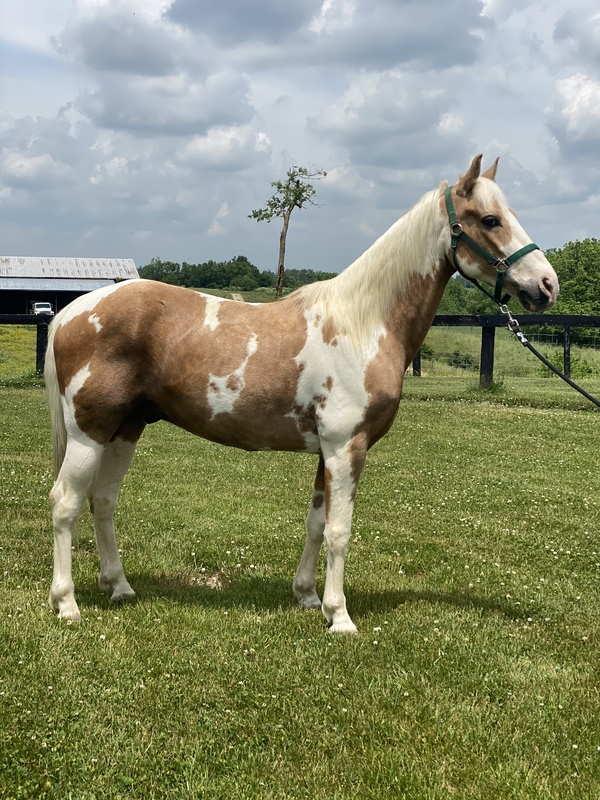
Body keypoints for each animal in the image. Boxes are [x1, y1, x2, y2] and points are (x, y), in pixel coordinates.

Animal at [45, 155, 559, 632]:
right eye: (490, 220)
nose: (547, 285)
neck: (363, 325)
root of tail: (72, 310)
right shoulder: (346, 446)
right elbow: (340, 530)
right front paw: (341, 616)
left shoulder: (326, 451)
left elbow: (316, 524)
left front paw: (309, 597)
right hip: (90, 432)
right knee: (66, 503)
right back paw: (67, 605)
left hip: (125, 429)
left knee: (103, 500)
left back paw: (120, 587)